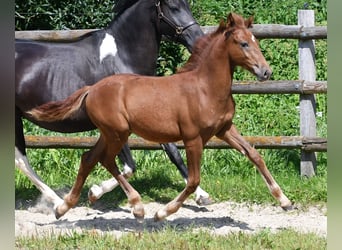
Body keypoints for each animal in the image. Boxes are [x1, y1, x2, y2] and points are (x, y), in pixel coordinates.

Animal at [15, 0, 214, 211]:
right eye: (174, 6)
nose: (199, 41)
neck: (123, 59)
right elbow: (128, 166)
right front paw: (95, 192)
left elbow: (173, 152)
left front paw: (202, 195)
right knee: (20, 159)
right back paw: (58, 202)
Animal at [28, 13, 292, 221]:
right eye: (243, 43)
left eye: (255, 41)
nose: (265, 72)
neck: (205, 88)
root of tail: (92, 88)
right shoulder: (193, 138)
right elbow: (193, 180)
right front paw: (162, 213)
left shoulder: (224, 129)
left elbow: (255, 155)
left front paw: (285, 201)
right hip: (117, 133)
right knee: (106, 160)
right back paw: (137, 207)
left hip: (110, 133)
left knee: (89, 159)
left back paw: (64, 207)